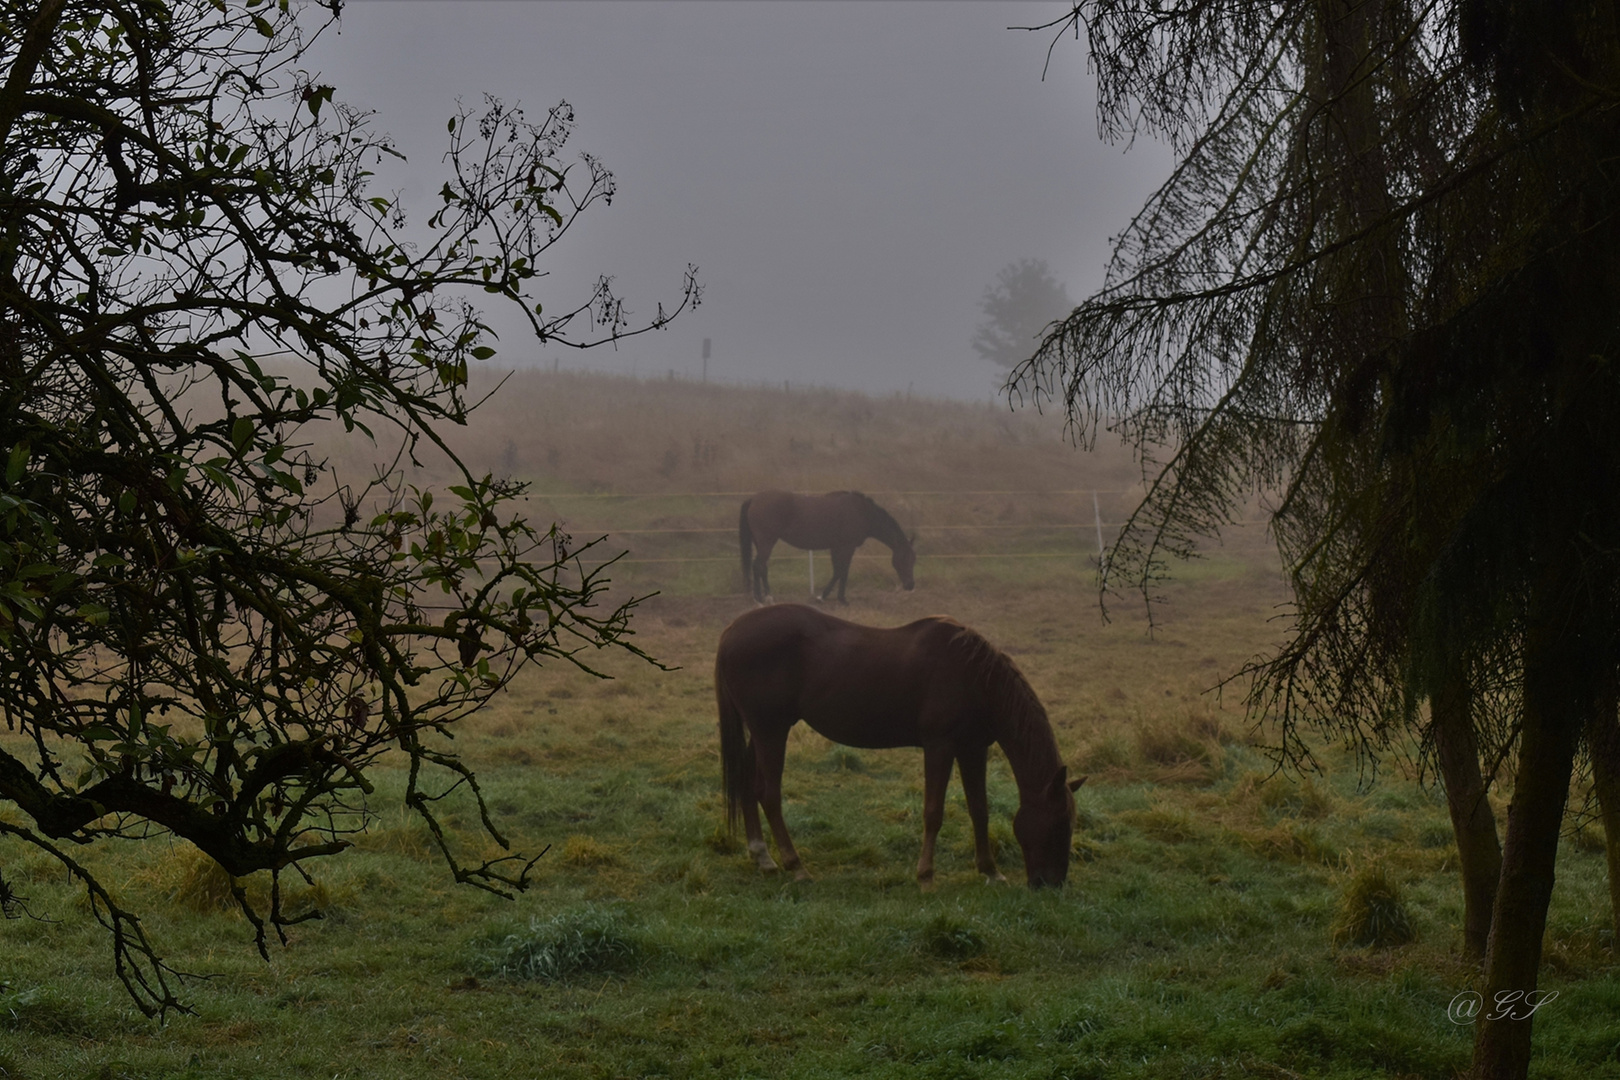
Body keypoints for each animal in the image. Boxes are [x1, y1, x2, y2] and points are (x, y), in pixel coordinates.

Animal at [716, 605, 1082, 893]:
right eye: (1059, 824)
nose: (1051, 884)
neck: (974, 676)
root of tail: (732, 630)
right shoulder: (939, 746)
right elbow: (933, 812)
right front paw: (926, 877)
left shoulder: (972, 748)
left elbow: (980, 809)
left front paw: (991, 872)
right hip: (771, 731)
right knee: (769, 795)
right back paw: (797, 867)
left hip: (763, 732)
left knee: (747, 785)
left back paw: (763, 858)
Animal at [741, 488, 920, 605]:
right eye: (905, 559)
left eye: (914, 560)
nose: (910, 585)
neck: (862, 512)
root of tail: (754, 499)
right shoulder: (847, 547)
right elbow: (842, 572)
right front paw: (836, 598)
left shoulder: (836, 547)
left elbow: (838, 571)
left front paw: (829, 596)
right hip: (767, 542)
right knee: (758, 565)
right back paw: (760, 598)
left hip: (761, 543)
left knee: (761, 567)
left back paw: (766, 596)